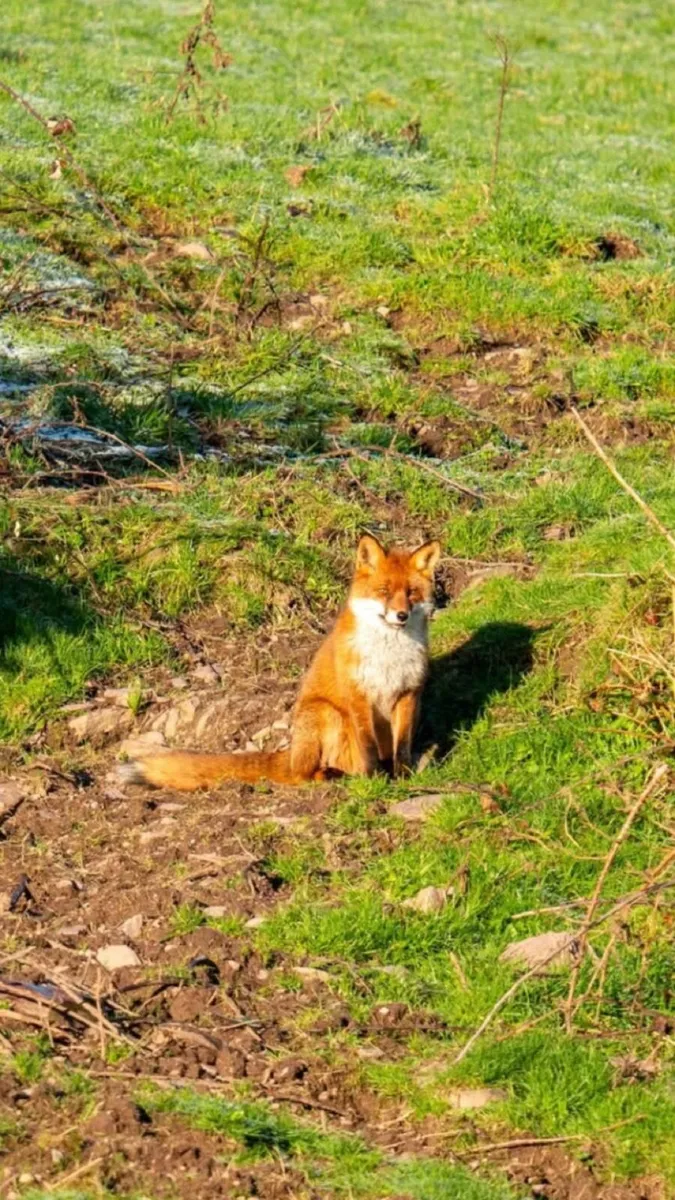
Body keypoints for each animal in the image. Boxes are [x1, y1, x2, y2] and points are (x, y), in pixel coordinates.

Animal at [120, 534, 441, 791]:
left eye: (411, 592)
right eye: (384, 591)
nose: (401, 615)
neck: (389, 656)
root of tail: (291, 754)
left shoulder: (409, 693)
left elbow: (402, 747)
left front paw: (403, 776)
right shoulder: (358, 696)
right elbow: (369, 747)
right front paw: (376, 780)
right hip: (326, 713)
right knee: (302, 775)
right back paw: (334, 776)